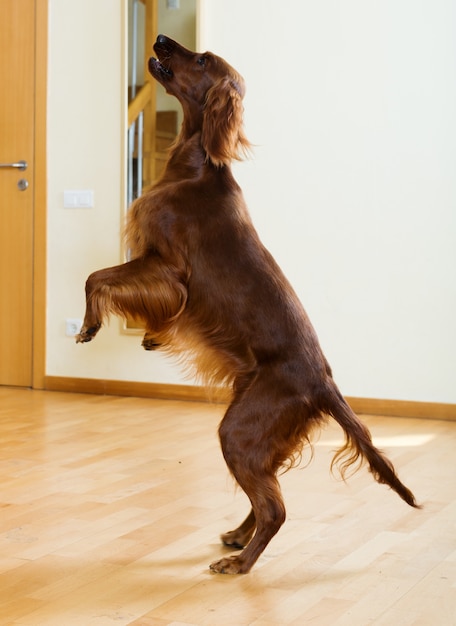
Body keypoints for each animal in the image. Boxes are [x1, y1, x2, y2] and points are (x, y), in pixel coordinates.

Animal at [76, 34, 418, 572]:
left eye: (200, 60)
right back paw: (238, 537)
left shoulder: (165, 265)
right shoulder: (161, 270)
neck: (196, 166)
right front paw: (149, 337)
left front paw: (91, 325)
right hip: (258, 433)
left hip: (238, 429)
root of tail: (324, 384)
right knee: (265, 495)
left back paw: (240, 563)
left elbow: (97, 277)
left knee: (275, 508)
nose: (161, 40)